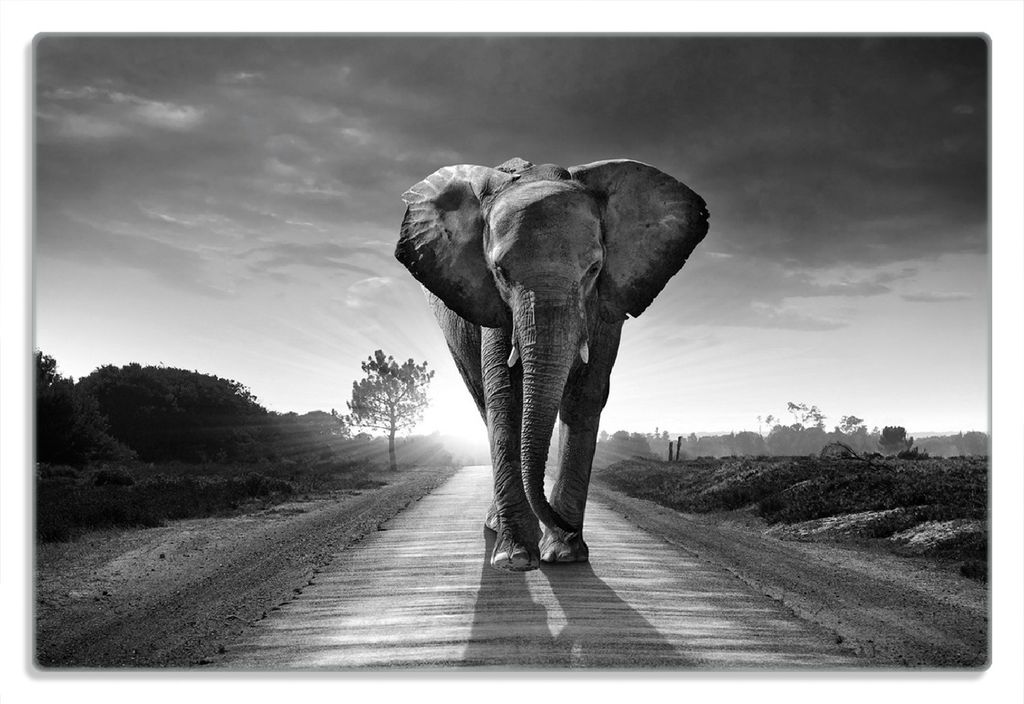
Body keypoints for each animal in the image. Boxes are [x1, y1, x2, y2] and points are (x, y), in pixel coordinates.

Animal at [395, 157, 709, 571]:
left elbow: (585, 396)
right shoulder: (492, 305)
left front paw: (564, 554)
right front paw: (515, 558)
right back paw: (497, 527)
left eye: (594, 269)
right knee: (483, 401)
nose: (567, 528)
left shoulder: (606, 305)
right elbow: (505, 396)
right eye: (500, 272)